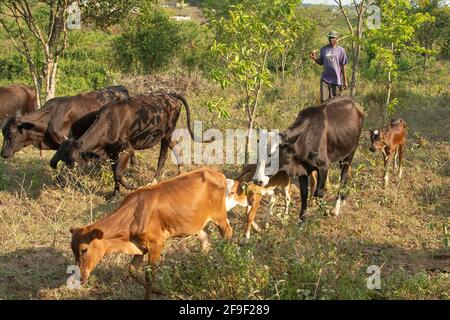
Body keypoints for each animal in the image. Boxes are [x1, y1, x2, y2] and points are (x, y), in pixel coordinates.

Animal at [55, 91, 213, 199]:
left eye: (73, 161)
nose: (63, 177)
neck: (110, 122)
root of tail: (169, 94)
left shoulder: (125, 148)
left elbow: (118, 174)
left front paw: (132, 187)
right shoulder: (112, 152)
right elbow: (115, 174)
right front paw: (114, 195)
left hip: (167, 133)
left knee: (163, 156)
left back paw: (154, 181)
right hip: (165, 136)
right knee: (176, 147)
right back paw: (180, 172)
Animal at [70, 166, 234, 298]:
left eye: (84, 250)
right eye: (73, 251)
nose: (80, 277)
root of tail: (217, 172)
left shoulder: (156, 244)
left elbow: (149, 275)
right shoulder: (140, 247)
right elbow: (131, 270)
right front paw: (158, 291)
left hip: (220, 216)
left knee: (228, 234)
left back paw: (227, 262)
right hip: (199, 225)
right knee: (206, 242)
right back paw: (201, 268)